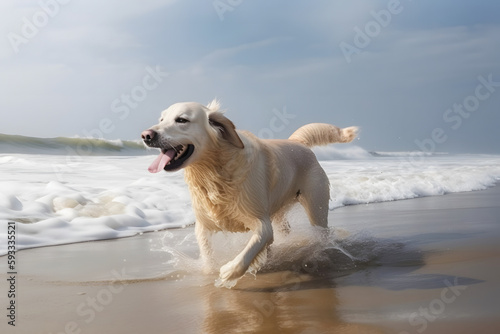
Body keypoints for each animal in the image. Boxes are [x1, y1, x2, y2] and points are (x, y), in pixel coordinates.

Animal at [143, 100, 358, 284]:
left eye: (182, 120)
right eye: (161, 119)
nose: (146, 135)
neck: (214, 171)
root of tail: (298, 143)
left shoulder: (261, 221)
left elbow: (252, 247)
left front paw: (228, 271)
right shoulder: (203, 225)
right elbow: (207, 252)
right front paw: (211, 270)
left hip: (316, 205)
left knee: (322, 233)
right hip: (279, 213)